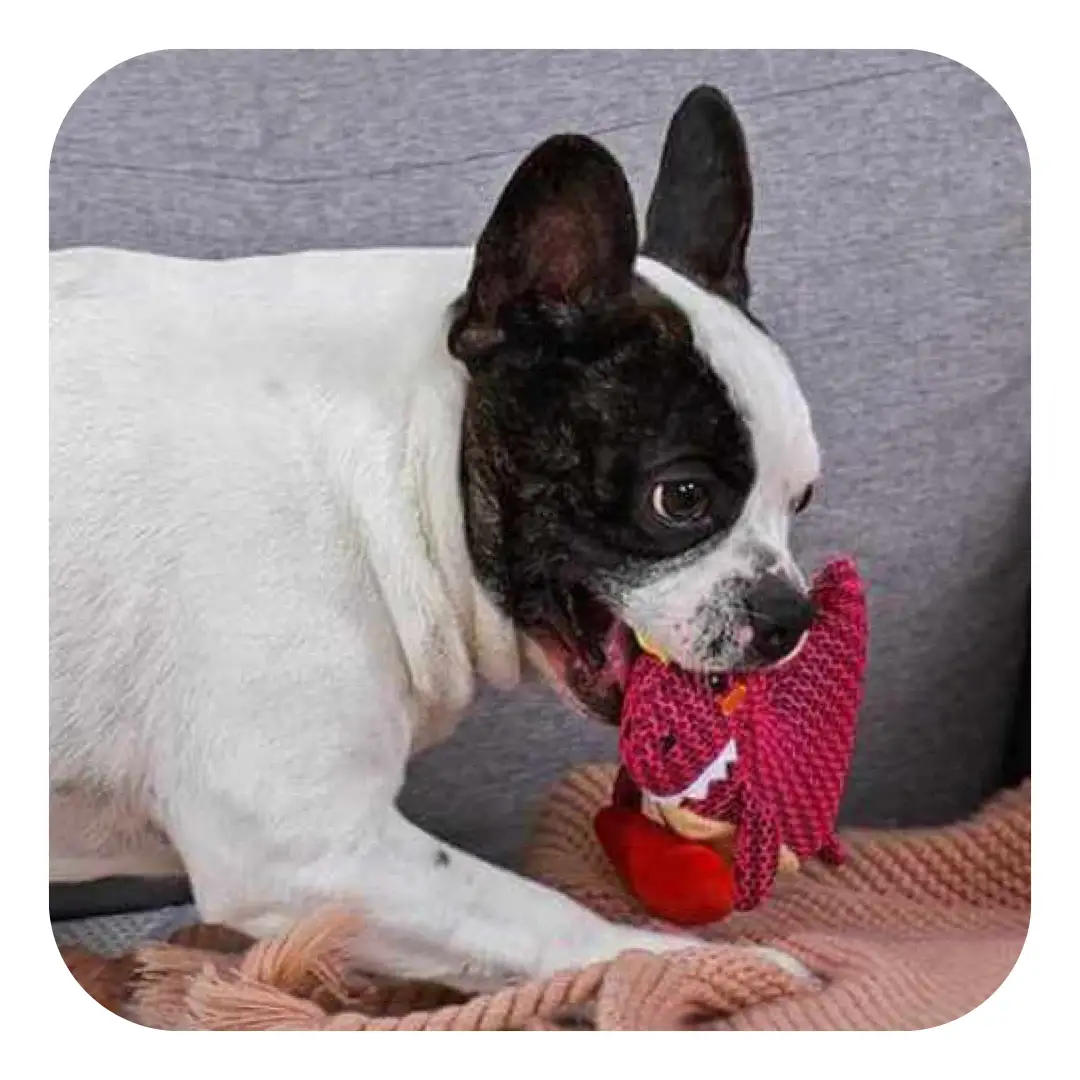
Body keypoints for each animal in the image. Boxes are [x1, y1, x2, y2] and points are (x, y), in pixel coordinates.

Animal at [50, 86, 820, 992]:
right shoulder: (304, 845)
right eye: (682, 498)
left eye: (802, 499)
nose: (790, 614)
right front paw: (685, 966)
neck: (395, 447)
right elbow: (542, 915)